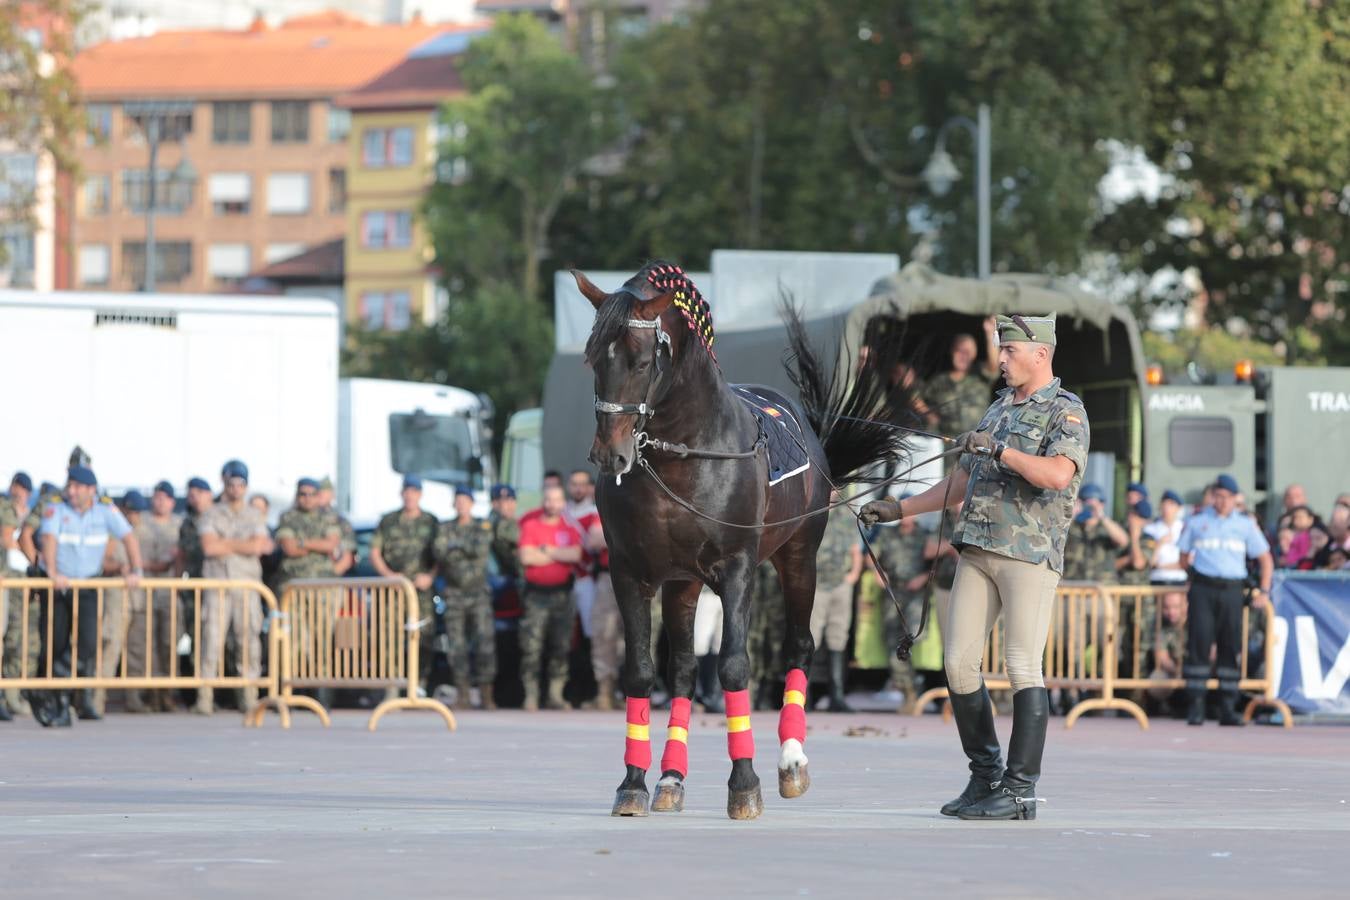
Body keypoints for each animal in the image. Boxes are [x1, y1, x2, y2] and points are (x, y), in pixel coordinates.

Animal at [569, 261, 907, 825]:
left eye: (640, 360)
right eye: (594, 358)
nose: (609, 455)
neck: (681, 456)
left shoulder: (737, 569)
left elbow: (732, 666)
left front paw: (745, 783)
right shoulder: (631, 572)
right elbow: (642, 672)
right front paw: (634, 783)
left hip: (799, 559)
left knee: (799, 645)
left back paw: (791, 761)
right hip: (683, 584)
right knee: (684, 669)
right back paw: (671, 777)